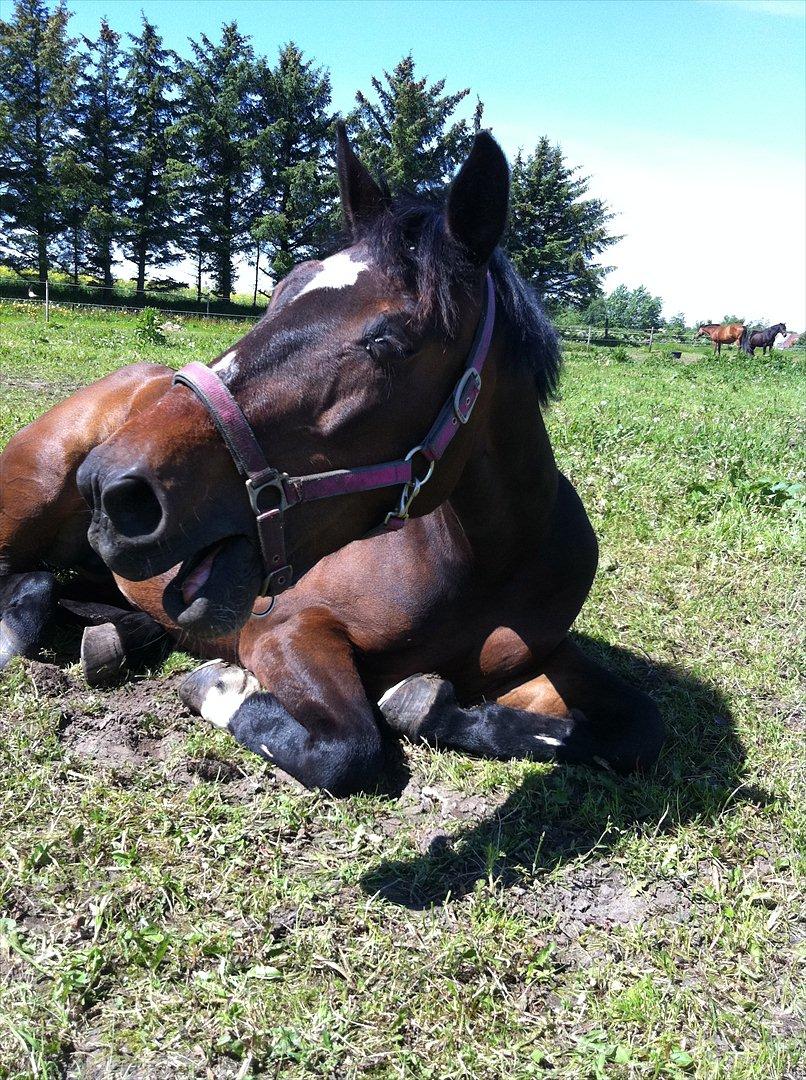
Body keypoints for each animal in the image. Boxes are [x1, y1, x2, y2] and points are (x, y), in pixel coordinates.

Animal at [0, 130, 661, 799]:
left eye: (388, 342)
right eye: (279, 293)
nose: (113, 489)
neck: (488, 561)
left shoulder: (543, 660)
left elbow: (637, 728)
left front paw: (427, 706)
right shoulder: (288, 631)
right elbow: (350, 749)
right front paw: (222, 688)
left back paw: (116, 636)